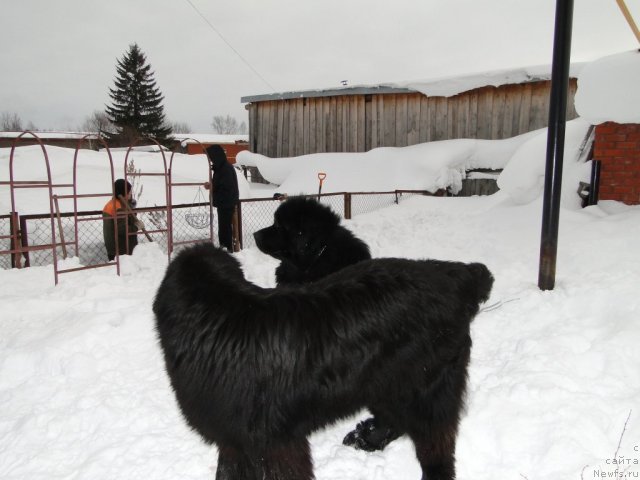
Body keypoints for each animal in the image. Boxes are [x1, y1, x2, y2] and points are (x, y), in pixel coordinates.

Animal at [152, 246, 492, 478]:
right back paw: (367, 438)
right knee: (395, 419)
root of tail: (456, 276)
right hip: (383, 382)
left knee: (436, 444)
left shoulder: (275, 442)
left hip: (425, 386)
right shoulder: (235, 440)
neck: (219, 321)